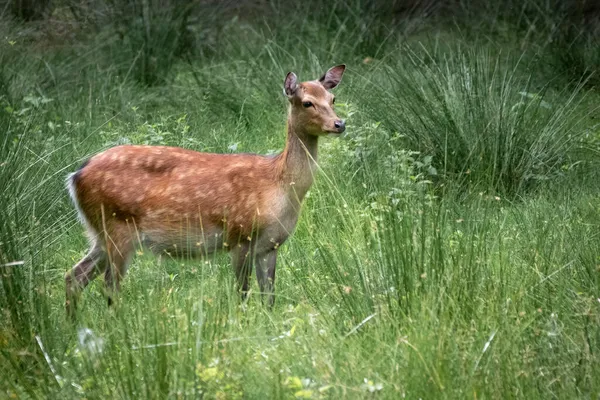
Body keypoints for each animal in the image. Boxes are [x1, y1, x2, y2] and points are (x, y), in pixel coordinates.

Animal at [64, 65, 346, 316]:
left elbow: (269, 296)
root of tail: (75, 177)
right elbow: (242, 292)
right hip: (117, 226)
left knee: (74, 276)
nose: (339, 123)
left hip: (101, 233)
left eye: (332, 98)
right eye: (307, 102)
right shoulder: (239, 234)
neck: (278, 187)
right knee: (109, 287)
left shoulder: (271, 245)